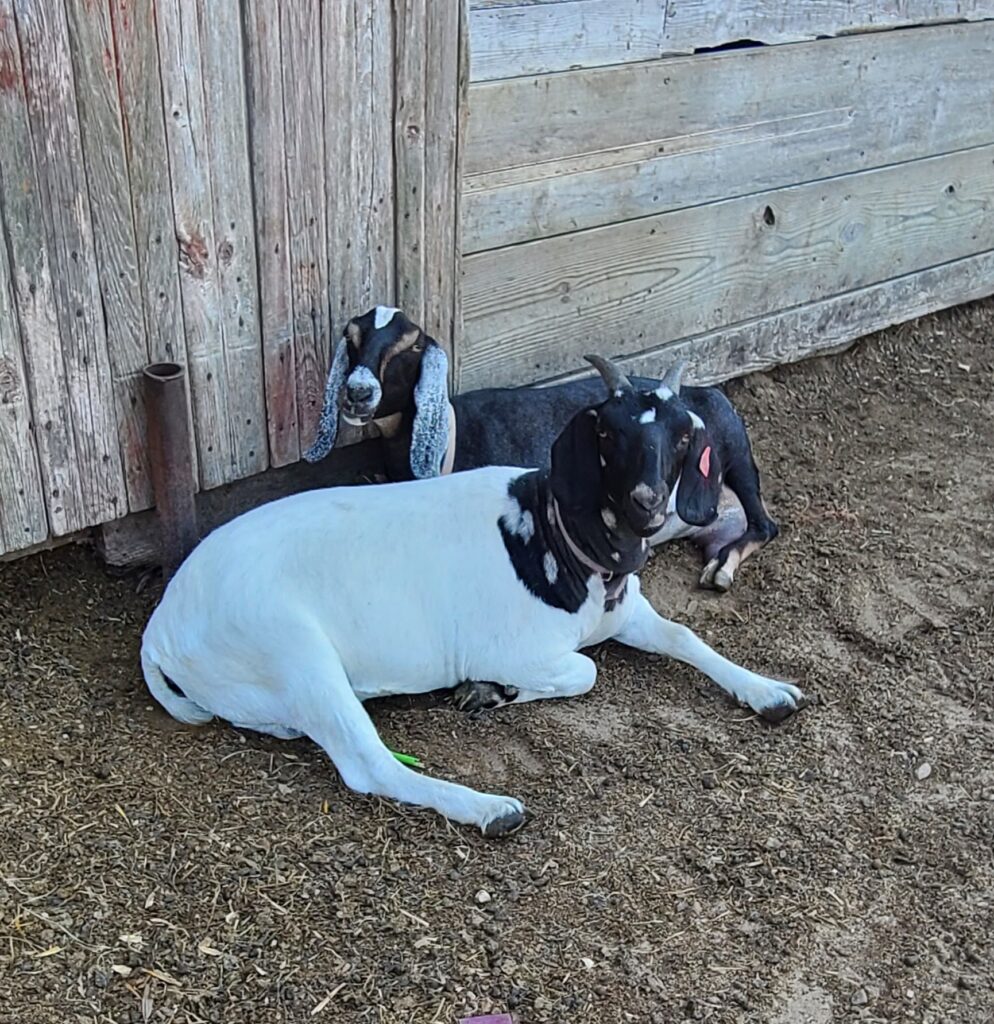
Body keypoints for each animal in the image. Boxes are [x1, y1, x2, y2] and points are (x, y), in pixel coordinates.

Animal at [142, 355, 806, 836]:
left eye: (682, 435)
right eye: (608, 431)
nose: (647, 502)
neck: (554, 535)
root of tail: (161, 626)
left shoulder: (628, 614)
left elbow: (684, 635)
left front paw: (769, 690)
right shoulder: (513, 646)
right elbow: (585, 672)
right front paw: (495, 690)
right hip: (296, 654)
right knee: (368, 764)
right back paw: (490, 809)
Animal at [305, 306, 777, 593]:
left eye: (413, 345)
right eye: (351, 338)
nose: (358, 392)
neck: (451, 436)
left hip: (736, 450)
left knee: (765, 525)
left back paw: (722, 572)